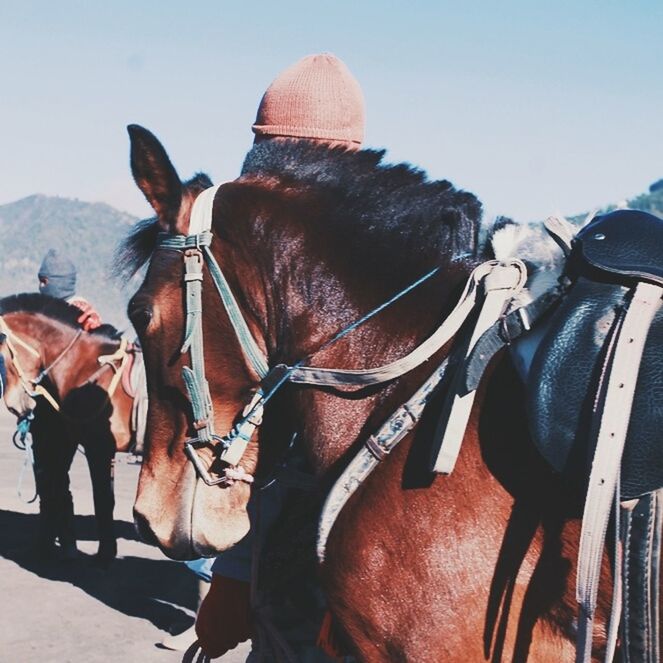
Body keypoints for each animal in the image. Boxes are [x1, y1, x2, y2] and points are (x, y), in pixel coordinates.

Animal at [0, 294, 136, 560]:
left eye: (1, 355)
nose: (13, 405)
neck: (87, 365)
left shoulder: (99, 447)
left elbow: (103, 498)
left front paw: (105, 554)